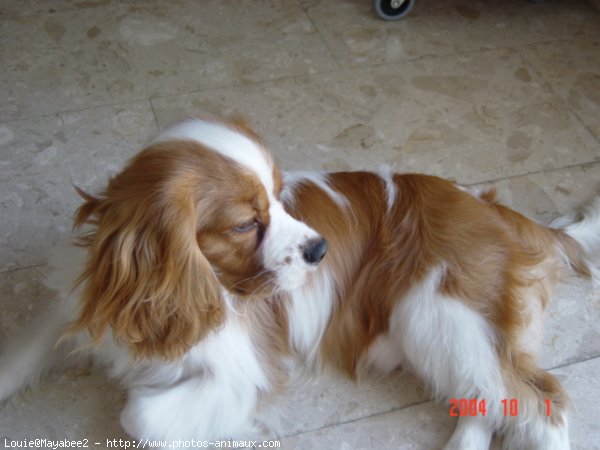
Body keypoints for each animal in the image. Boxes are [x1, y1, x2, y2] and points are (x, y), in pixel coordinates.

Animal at [1, 118, 600, 448]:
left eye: (280, 195)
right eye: (246, 223)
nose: (320, 249)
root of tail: (491, 206)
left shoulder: (241, 374)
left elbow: (139, 413)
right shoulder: (82, 300)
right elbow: (23, 352)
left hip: (441, 315)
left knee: (539, 407)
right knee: (483, 399)